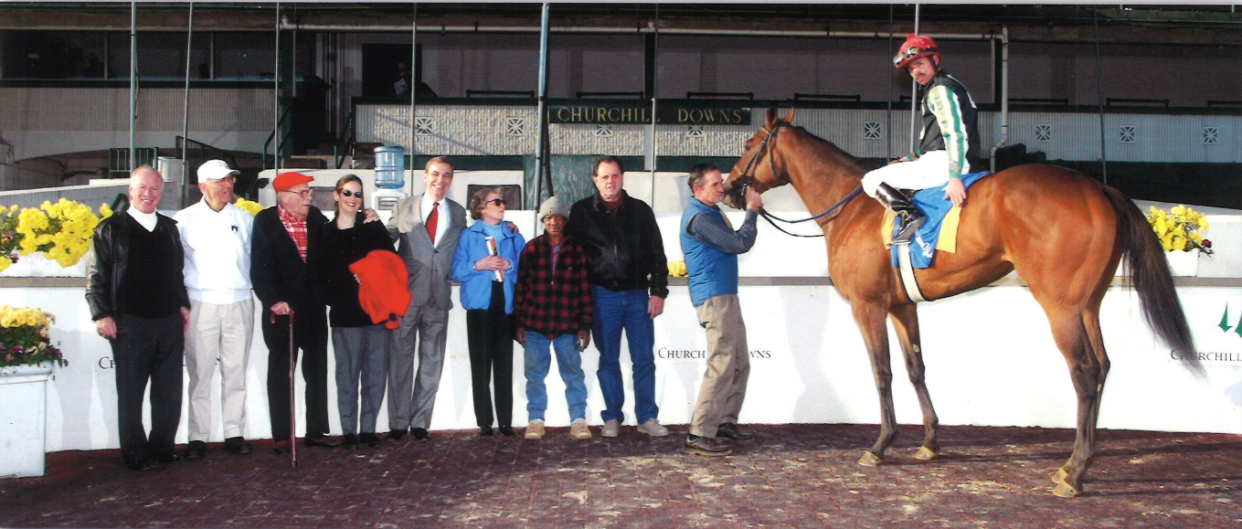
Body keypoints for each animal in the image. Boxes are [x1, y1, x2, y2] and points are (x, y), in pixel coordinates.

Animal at [725, 106, 1202, 496]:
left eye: (748, 146)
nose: (729, 189)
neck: (853, 209)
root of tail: (1099, 188)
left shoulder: (868, 306)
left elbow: (882, 373)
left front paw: (880, 445)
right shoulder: (903, 307)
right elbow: (915, 368)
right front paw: (930, 441)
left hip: (1061, 307)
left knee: (1084, 373)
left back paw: (1076, 470)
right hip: (1088, 305)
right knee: (1101, 367)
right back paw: (1078, 461)